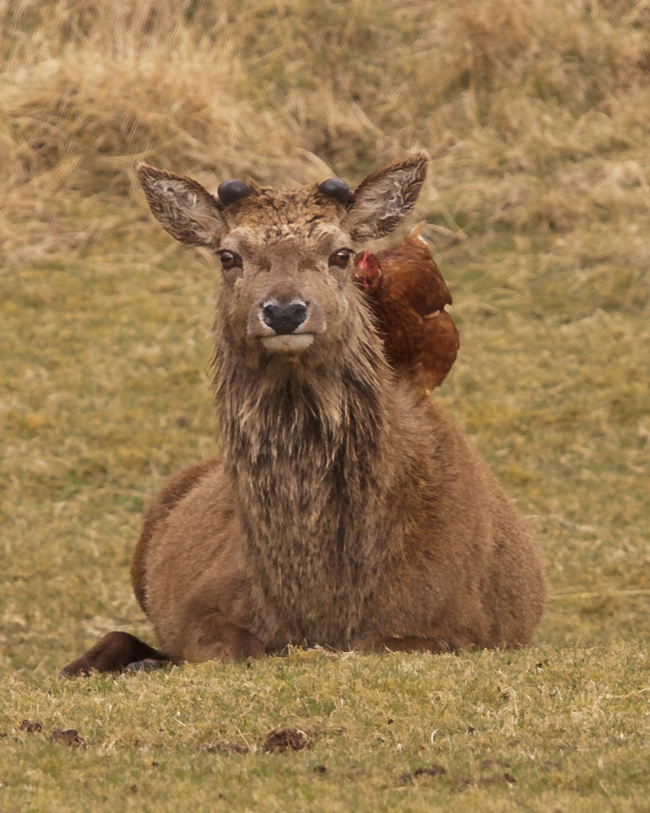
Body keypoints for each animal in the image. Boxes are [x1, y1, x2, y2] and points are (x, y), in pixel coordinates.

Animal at [60, 155, 544, 676]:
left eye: (341, 253)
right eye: (228, 255)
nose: (285, 311)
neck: (317, 606)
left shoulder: (460, 624)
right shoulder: (196, 607)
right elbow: (226, 649)